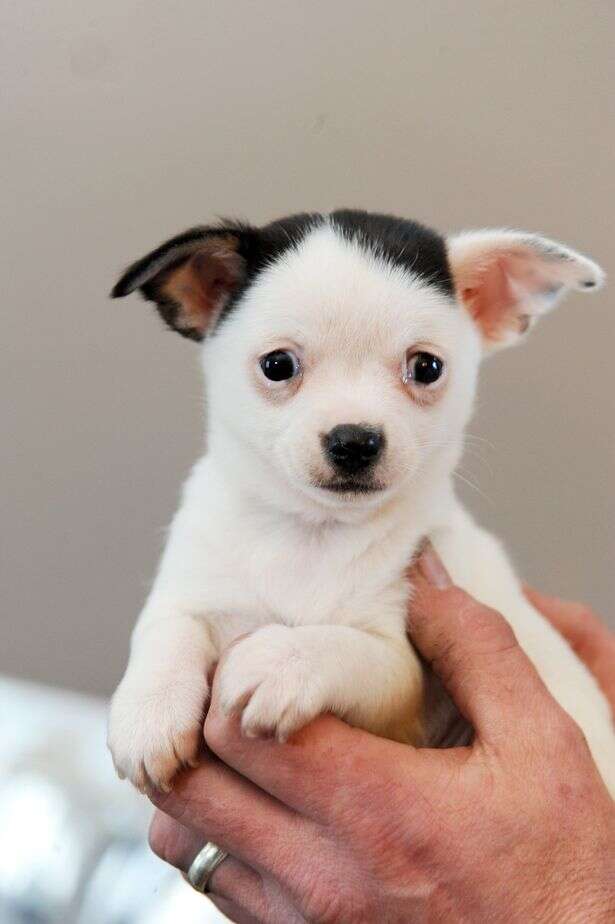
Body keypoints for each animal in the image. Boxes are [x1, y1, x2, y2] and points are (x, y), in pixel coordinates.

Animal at [107, 209, 615, 796]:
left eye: (427, 368)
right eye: (277, 365)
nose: (355, 440)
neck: (313, 533)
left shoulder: (401, 676)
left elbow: (344, 647)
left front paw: (281, 660)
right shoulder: (192, 587)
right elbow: (166, 630)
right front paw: (150, 710)